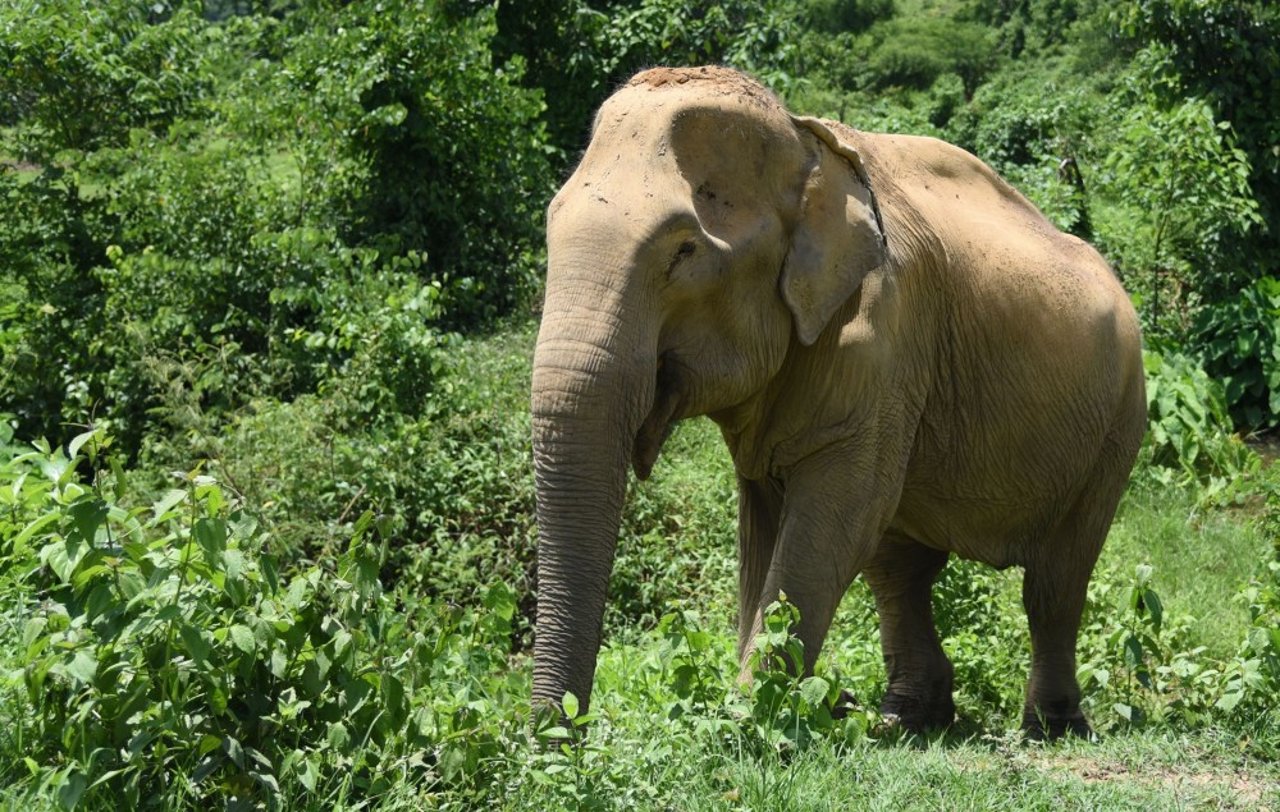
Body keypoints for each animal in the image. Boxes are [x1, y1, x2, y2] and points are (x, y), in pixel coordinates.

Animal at [524, 66, 1146, 737]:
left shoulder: (882, 334)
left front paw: (749, 721)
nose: (558, 732)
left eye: (683, 252)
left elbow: (834, 515)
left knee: (1056, 577)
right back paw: (905, 719)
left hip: (1120, 417)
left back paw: (1050, 727)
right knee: (899, 568)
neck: (804, 142)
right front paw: (778, 706)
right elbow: (767, 528)